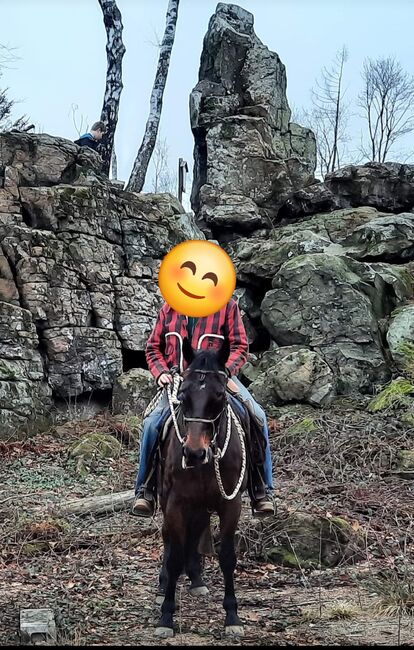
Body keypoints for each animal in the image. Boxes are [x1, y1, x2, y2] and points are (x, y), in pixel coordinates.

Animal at [154, 336, 247, 636]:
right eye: (183, 394)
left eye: (219, 395)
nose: (194, 453)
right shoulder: (175, 503)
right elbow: (174, 556)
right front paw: (166, 616)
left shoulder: (231, 504)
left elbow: (227, 556)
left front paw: (232, 616)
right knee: (171, 539)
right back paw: (166, 583)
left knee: (195, 533)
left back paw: (196, 579)